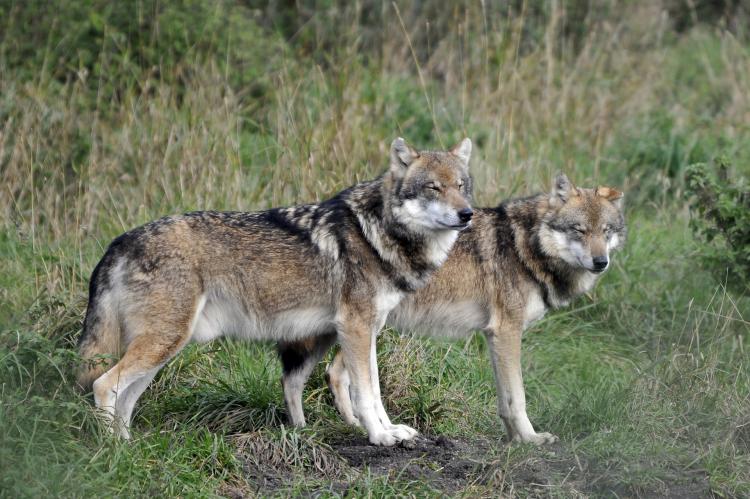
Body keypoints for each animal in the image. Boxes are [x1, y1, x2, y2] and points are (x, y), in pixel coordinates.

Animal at [78, 136, 476, 446]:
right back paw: (114, 451)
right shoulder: (357, 328)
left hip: (164, 348)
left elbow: (371, 390)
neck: (377, 232)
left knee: (125, 399)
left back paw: (128, 445)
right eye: (433, 188)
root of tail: (119, 241)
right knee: (103, 385)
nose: (467, 214)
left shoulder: (367, 329)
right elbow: (367, 393)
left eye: (460, 186)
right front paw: (380, 437)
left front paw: (390, 430)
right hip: (163, 342)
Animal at [280, 175, 624, 446]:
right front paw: (530, 439)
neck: (523, 246)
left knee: (335, 373)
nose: (601, 262)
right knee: (332, 374)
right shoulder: (507, 332)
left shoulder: (494, 337)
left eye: (606, 231)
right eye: (579, 230)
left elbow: (504, 399)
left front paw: (513, 439)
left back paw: (356, 426)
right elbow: (518, 397)